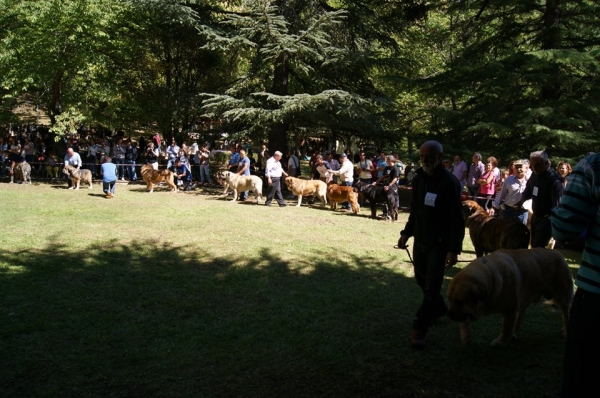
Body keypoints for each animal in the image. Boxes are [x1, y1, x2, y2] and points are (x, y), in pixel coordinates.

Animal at [448, 249, 576, 346]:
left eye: (459, 301)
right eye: (449, 299)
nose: (449, 315)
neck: (491, 279)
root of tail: (559, 253)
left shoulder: (510, 310)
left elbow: (506, 328)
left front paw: (500, 342)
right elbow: (464, 323)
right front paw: (465, 338)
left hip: (562, 297)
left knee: (566, 313)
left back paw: (566, 330)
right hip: (526, 299)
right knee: (520, 317)